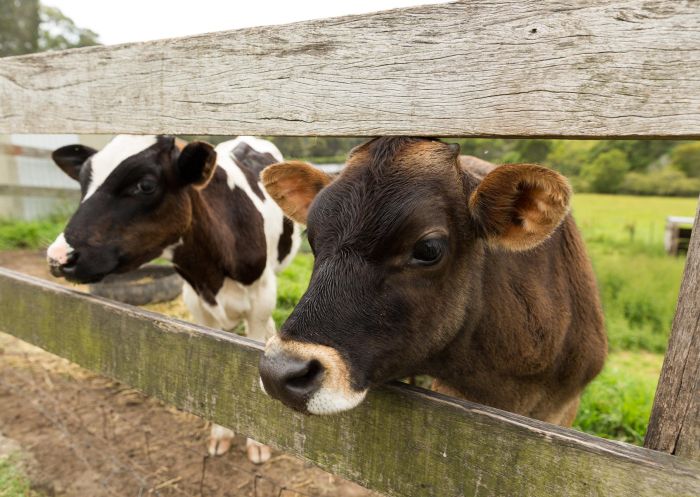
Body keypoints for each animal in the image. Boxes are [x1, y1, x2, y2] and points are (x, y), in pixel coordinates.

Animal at [46, 134, 301, 463]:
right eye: (82, 181)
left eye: (145, 185)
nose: (57, 257)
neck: (210, 273)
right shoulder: (197, 304)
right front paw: (220, 435)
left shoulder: (260, 297)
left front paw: (257, 444)